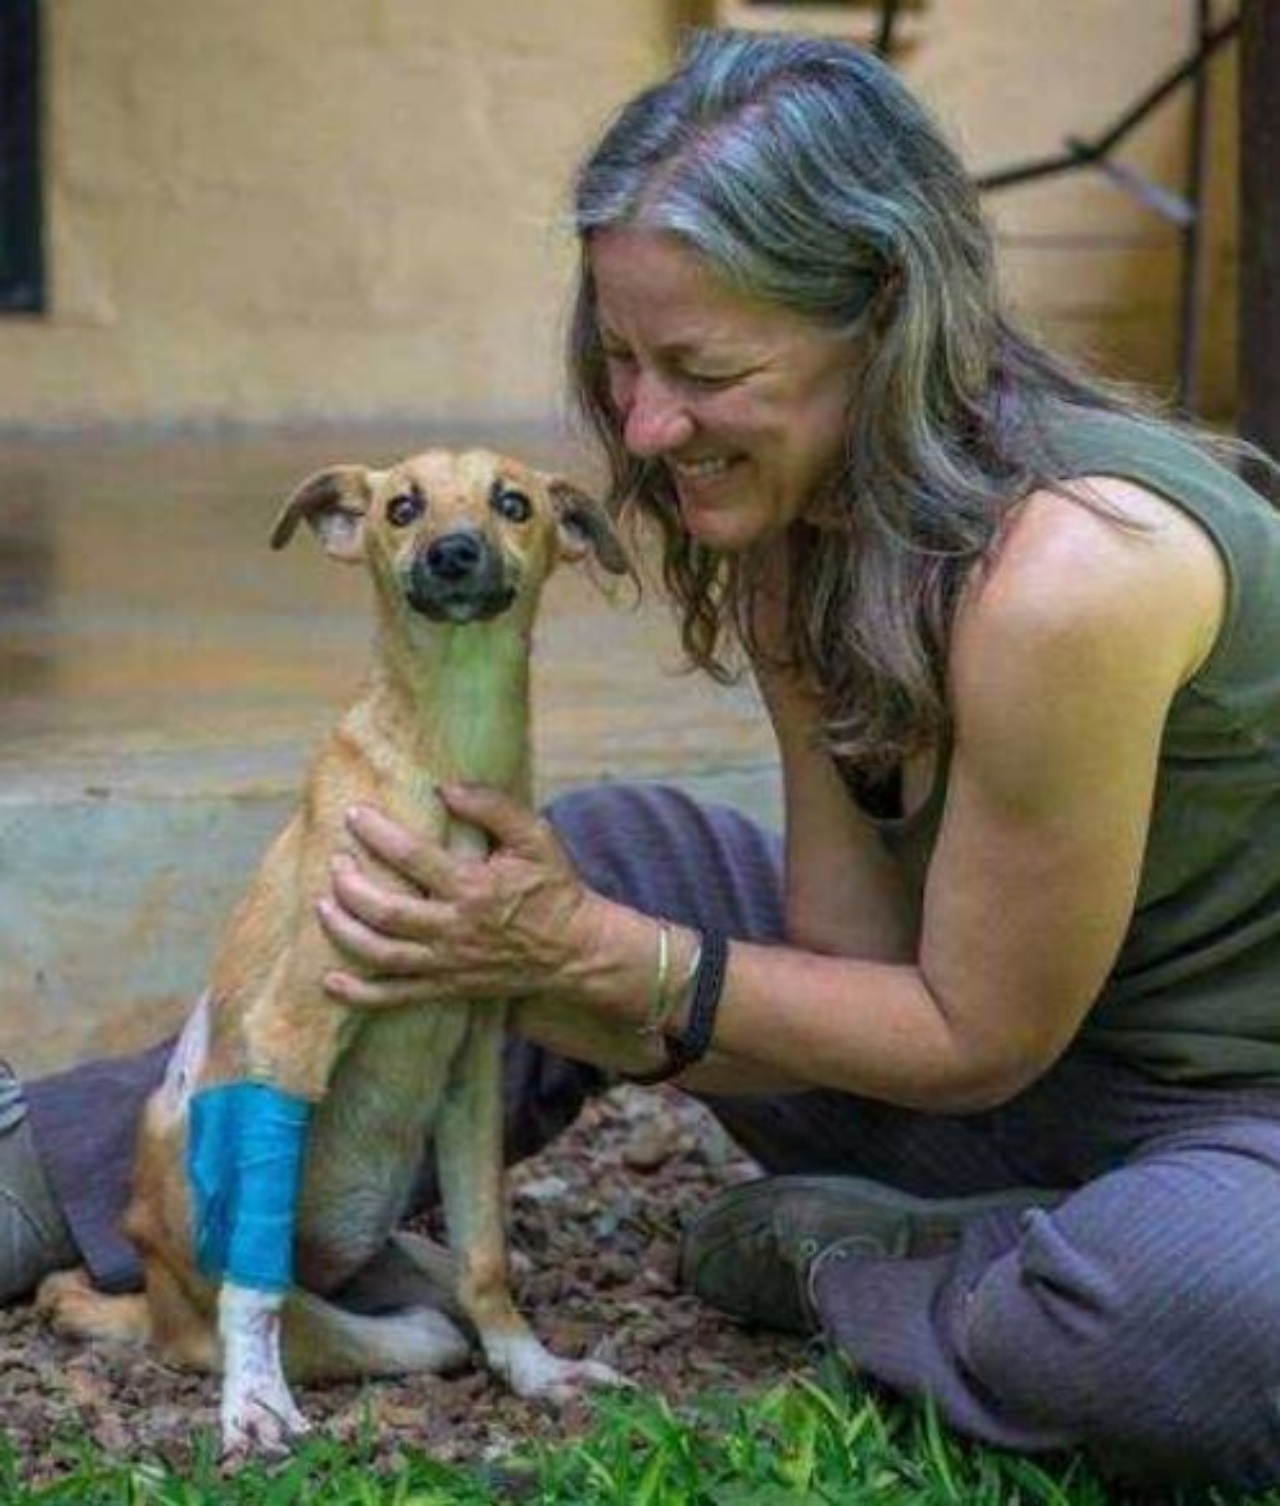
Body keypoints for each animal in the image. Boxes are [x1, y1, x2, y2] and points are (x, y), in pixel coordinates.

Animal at [42, 442, 632, 1445]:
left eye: (512, 503)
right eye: (403, 508)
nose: (453, 554)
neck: (448, 748)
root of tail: (151, 1300)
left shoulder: (472, 1068)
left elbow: (488, 1255)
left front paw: (533, 1370)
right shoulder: (291, 1038)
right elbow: (256, 1288)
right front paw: (254, 1403)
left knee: (451, 1284)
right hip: (273, 1291)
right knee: (378, 1324)